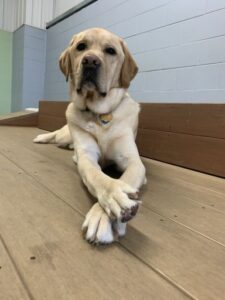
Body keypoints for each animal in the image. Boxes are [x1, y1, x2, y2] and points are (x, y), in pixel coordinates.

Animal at [33, 27, 146, 244]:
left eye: (110, 51)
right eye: (81, 46)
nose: (91, 61)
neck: (99, 114)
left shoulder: (134, 162)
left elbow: (126, 179)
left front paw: (105, 214)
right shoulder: (87, 156)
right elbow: (98, 177)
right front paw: (115, 197)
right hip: (66, 133)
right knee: (57, 136)